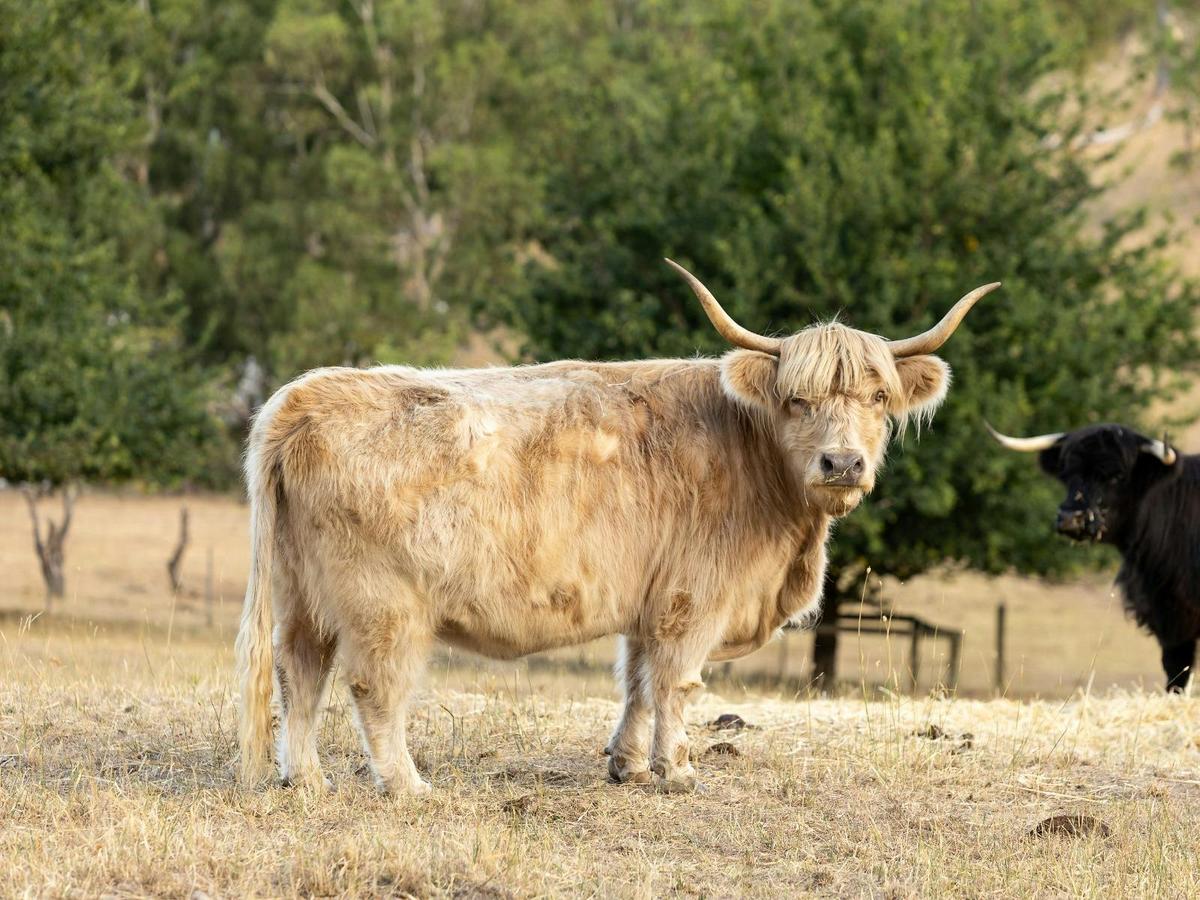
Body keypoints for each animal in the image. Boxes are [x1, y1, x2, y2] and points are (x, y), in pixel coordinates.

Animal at [235, 260, 998, 795]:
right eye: (797, 400)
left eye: (878, 397)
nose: (843, 463)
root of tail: (301, 396)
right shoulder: (694, 600)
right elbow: (676, 683)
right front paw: (677, 771)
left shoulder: (646, 602)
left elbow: (635, 680)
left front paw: (627, 764)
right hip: (383, 605)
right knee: (372, 686)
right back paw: (406, 784)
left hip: (303, 595)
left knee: (299, 673)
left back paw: (306, 779)